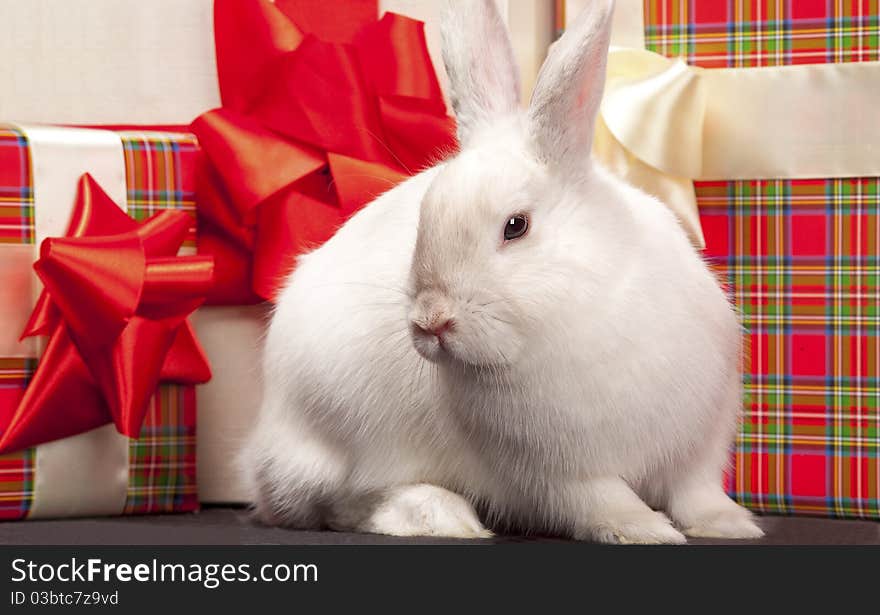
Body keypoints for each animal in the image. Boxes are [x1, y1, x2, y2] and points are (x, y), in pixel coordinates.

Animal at [241, 0, 764, 544]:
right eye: (422, 221)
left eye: (516, 226)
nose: (432, 320)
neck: (590, 305)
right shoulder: (558, 473)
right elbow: (603, 501)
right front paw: (643, 529)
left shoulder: (698, 447)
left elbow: (696, 493)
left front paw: (730, 524)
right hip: (331, 442)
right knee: (339, 505)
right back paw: (438, 515)